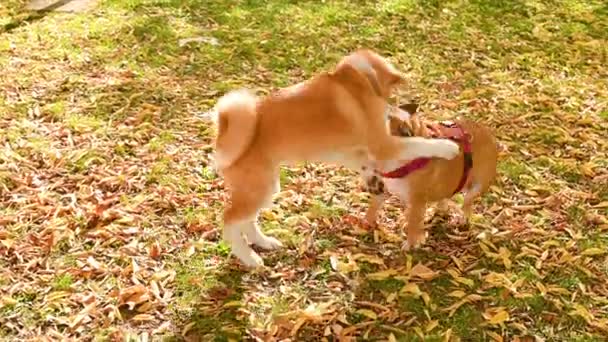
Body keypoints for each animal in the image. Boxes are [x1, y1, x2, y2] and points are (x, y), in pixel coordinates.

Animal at [210, 49, 460, 268]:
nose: (404, 108)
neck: (358, 78)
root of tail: (223, 133)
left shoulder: (353, 150)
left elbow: (367, 162)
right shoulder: (383, 145)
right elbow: (419, 144)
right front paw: (448, 147)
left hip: (265, 187)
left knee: (247, 221)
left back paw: (263, 242)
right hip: (257, 189)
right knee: (230, 221)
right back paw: (249, 258)